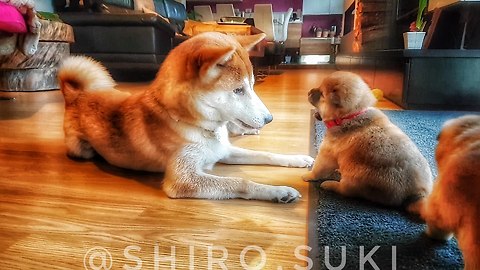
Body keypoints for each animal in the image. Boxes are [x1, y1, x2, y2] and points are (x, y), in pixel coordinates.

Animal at [58, 31, 316, 202]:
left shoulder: (224, 150)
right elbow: (240, 182)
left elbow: (267, 154)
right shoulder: (184, 180)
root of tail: (76, 95)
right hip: (81, 149)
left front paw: (297, 159)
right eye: (238, 90)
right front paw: (279, 191)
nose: (269, 119)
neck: (193, 123)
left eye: (252, 85)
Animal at [302, 70, 434, 214]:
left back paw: (329, 184)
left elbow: (318, 169)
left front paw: (308, 175)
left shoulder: (327, 153)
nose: (308, 92)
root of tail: (415, 195)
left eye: (322, 94)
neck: (351, 115)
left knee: (345, 190)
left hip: (354, 180)